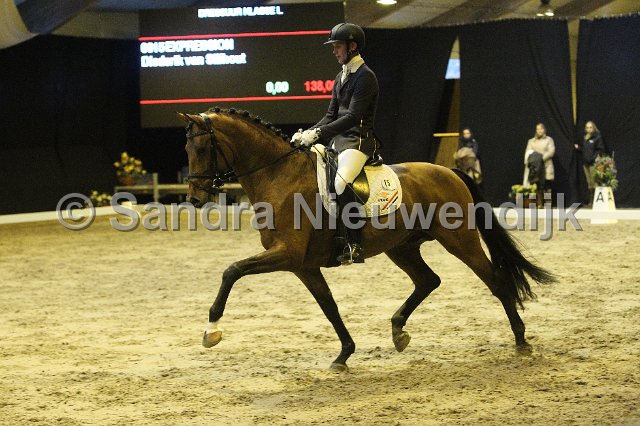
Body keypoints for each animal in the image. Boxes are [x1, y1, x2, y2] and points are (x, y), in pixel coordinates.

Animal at [177, 108, 556, 371]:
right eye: (187, 149)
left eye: (202, 148)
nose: (194, 199)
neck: (278, 175)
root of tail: (449, 171)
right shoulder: (303, 266)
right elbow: (328, 306)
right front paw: (344, 355)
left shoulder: (287, 254)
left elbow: (232, 270)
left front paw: (211, 330)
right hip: (401, 247)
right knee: (428, 280)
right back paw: (398, 330)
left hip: (459, 240)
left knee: (495, 280)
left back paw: (521, 340)